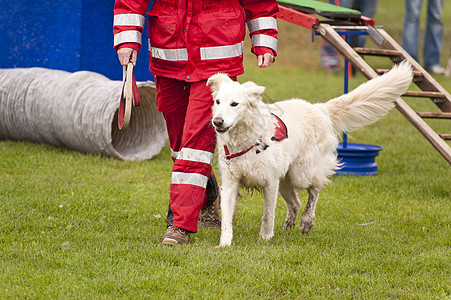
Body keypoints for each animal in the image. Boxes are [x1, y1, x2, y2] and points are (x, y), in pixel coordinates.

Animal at [207, 61, 414, 246]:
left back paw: (307, 220)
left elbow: (268, 214)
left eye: (234, 104)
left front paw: (265, 238)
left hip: (300, 174)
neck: (247, 140)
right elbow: (227, 218)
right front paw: (225, 244)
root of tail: (319, 109)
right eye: (218, 102)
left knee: (315, 190)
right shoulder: (230, 183)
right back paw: (287, 226)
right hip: (286, 179)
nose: (217, 121)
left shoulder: (270, 183)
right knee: (296, 203)